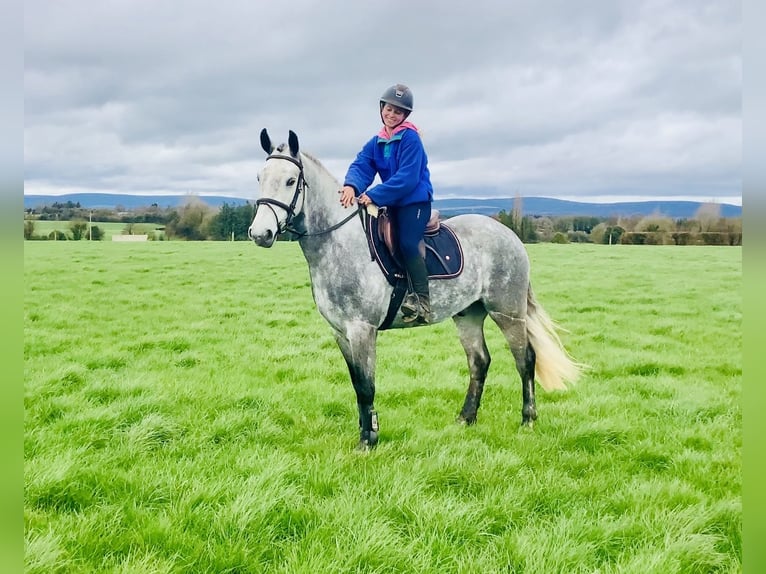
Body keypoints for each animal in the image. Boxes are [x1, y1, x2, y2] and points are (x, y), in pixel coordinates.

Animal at [248, 129, 580, 450]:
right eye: (260, 178)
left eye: (291, 181)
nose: (260, 233)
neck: (339, 243)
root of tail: (510, 235)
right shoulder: (340, 332)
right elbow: (357, 383)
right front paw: (365, 431)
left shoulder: (362, 329)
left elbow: (367, 385)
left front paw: (368, 440)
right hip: (468, 314)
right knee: (479, 361)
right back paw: (466, 418)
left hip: (507, 312)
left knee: (525, 359)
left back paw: (528, 420)